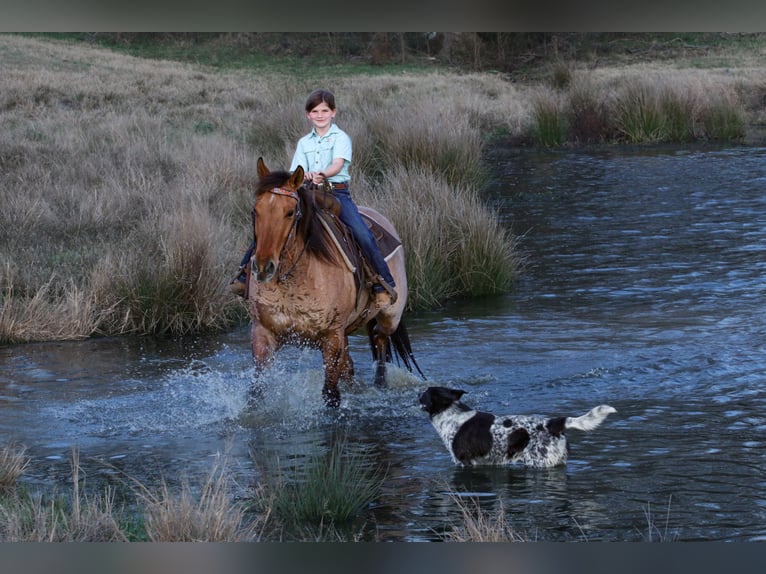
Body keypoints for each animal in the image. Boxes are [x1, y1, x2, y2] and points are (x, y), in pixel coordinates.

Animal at [248, 158, 424, 408]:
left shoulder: (331, 337)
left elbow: (330, 395)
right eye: (256, 210)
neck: (295, 279)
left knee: (379, 339)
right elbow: (256, 393)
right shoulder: (263, 334)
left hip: (390, 316)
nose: (264, 267)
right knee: (350, 365)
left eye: (290, 212)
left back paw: (380, 384)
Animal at [420, 388, 616, 468]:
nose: (417, 396)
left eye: (423, 394)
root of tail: (552, 423)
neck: (450, 413)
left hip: (539, 461)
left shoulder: (464, 462)